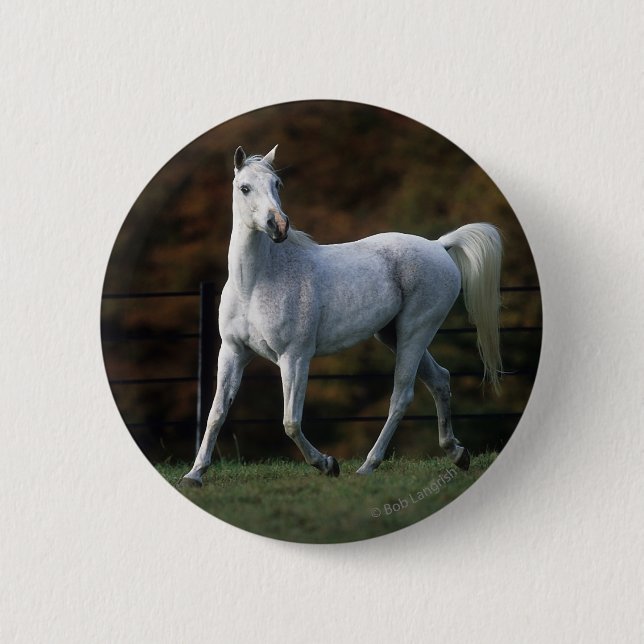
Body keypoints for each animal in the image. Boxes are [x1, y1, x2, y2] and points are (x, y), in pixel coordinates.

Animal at [179, 145, 502, 487]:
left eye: (277, 184)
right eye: (244, 188)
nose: (278, 225)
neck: (254, 283)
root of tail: (438, 245)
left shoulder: (294, 357)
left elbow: (290, 421)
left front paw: (327, 464)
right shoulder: (233, 353)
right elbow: (216, 413)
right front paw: (194, 474)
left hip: (415, 332)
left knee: (401, 395)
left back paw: (368, 466)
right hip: (393, 335)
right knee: (440, 379)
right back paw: (457, 453)